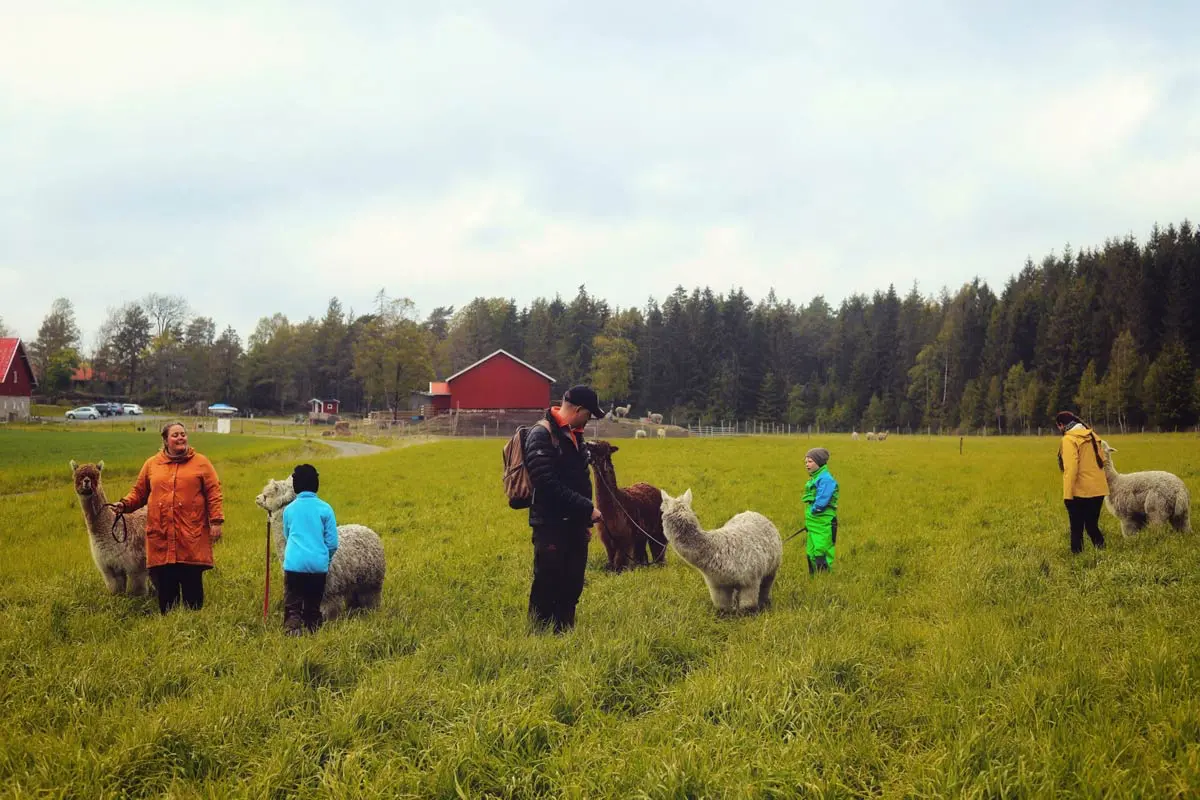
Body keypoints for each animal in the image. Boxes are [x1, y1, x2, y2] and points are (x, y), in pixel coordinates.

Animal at [70, 460, 148, 597]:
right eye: (79, 475)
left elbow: (137, 590)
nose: (86, 481)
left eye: (94, 475)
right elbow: (115, 589)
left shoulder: (135, 564)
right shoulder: (109, 566)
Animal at [253, 474, 384, 618]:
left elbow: (327, 608)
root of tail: (366, 529)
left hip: (372, 581)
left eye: (267, 495)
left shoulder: (329, 586)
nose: (257, 498)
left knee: (370, 598)